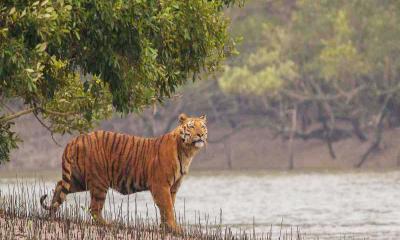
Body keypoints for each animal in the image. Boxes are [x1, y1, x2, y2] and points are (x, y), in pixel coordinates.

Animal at [39, 113, 209, 232]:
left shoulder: (172, 187)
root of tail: (76, 139)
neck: (187, 152)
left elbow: (167, 208)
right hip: (99, 181)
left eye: (203, 127)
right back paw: (108, 224)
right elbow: (167, 208)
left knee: (60, 185)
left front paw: (165, 228)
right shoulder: (161, 185)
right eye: (191, 126)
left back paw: (52, 213)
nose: (200, 134)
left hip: (78, 179)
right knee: (94, 208)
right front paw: (174, 229)